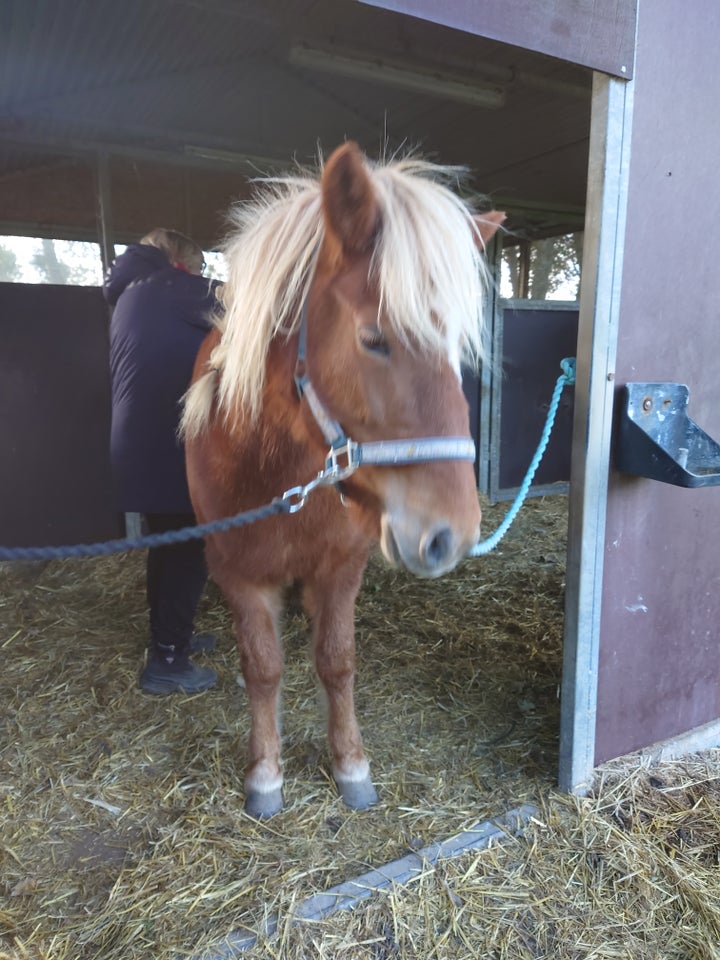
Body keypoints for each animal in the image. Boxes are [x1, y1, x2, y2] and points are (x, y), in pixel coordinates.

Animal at [183, 142, 504, 816]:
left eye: (456, 351)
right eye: (373, 339)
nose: (452, 537)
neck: (279, 473)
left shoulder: (340, 567)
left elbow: (337, 661)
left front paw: (350, 764)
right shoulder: (239, 575)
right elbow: (264, 668)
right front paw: (265, 773)